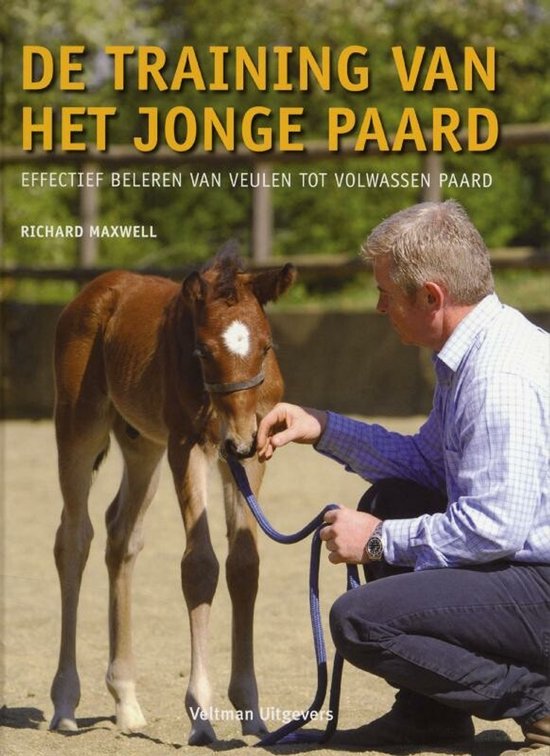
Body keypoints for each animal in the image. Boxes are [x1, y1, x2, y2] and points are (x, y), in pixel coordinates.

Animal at [49, 249, 296, 745]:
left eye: (265, 347)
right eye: (204, 351)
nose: (239, 440)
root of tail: (96, 291)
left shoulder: (253, 455)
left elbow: (245, 565)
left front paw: (251, 710)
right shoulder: (189, 446)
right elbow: (199, 565)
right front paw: (200, 714)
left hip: (142, 444)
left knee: (121, 537)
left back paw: (126, 701)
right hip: (78, 427)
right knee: (74, 539)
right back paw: (65, 703)